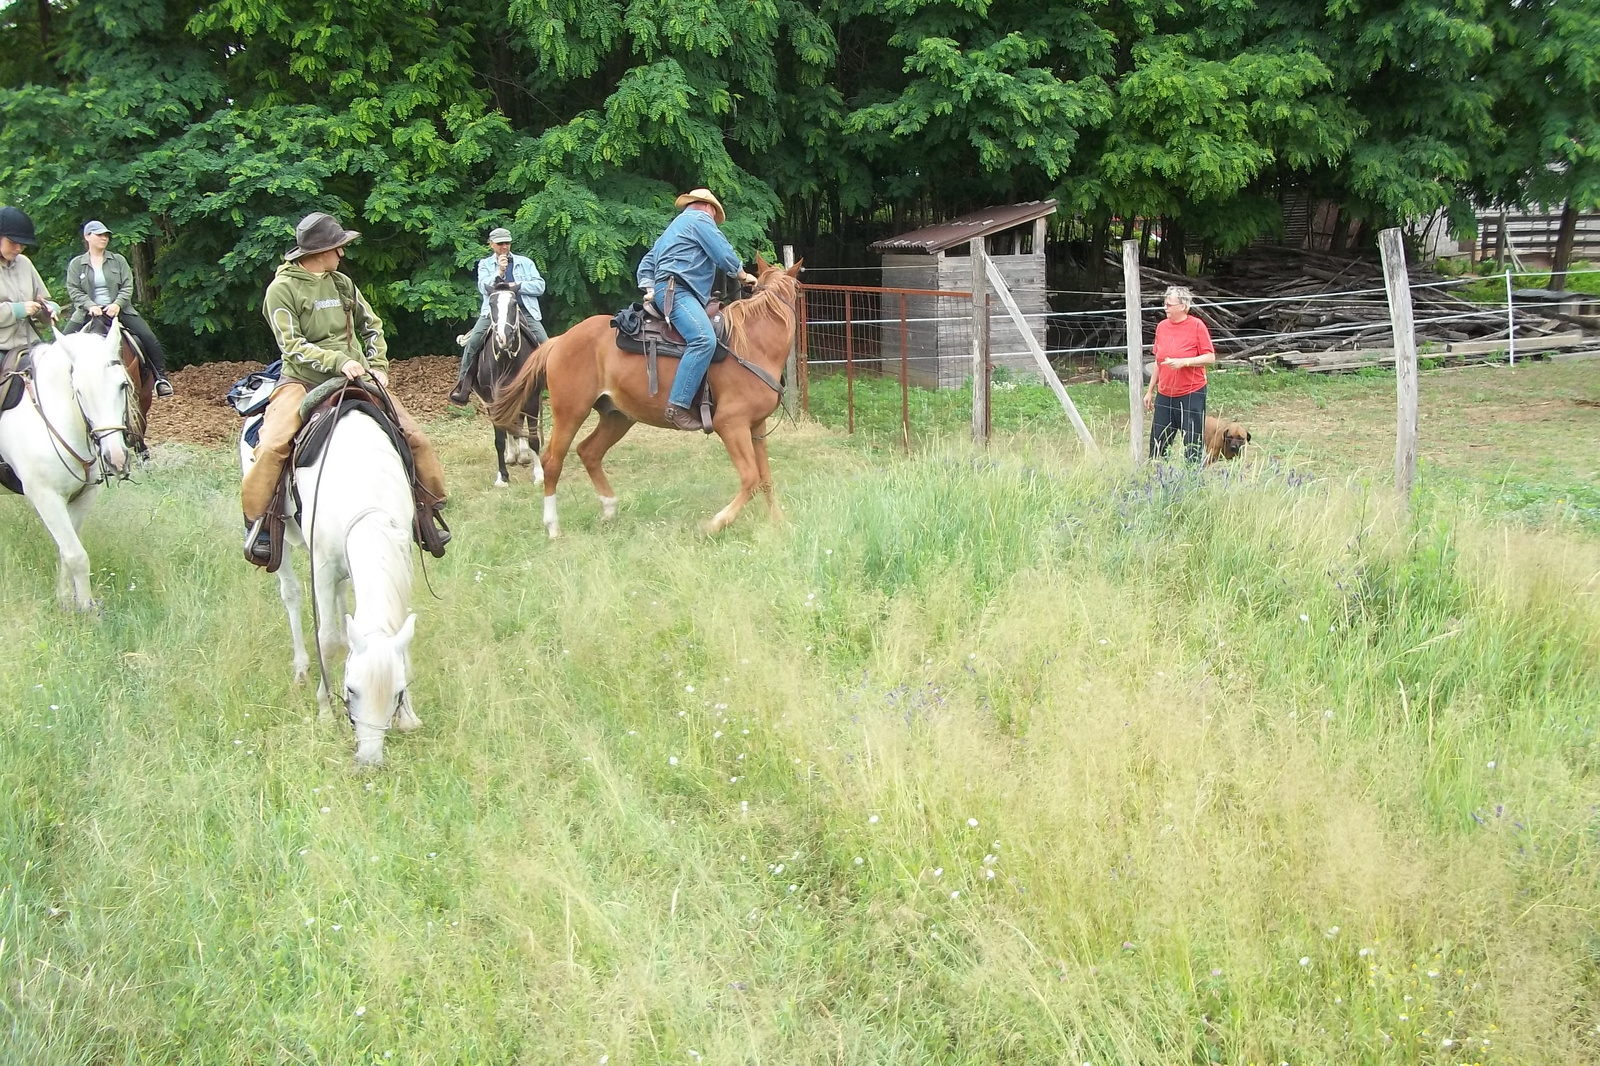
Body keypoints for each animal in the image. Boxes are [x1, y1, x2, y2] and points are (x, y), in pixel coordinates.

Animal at [0, 326, 136, 605]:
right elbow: (76, 555)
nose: (116, 458)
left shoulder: (82, 496)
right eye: (79, 391)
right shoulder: (46, 497)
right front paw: (85, 608)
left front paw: (64, 600)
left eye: (123, 385)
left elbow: (66, 551)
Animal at [238, 393, 419, 758]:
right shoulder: (320, 565)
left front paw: (409, 716)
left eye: (397, 692)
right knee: (291, 595)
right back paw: (301, 668)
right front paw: (324, 709)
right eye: (350, 690)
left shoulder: (401, 554)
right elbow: (329, 637)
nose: (369, 759)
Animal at [486, 254, 800, 534]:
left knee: (589, 451)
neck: (754, 344)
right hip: (571, 411)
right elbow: (750, 478)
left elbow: (765, 478)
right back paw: (553, 526)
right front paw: (713, 525)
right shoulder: (730, 424)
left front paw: (779, 524)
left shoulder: (756, 426)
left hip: (618, 416)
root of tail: (559, 341)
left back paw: (609, 509)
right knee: (553, 460)